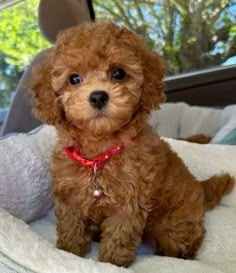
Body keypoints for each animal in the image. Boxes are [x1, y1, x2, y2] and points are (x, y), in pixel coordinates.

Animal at [30, 21, 234, 266]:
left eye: (119, 73)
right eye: (74, 79)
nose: (98, 96)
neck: (100, 151)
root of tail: (200, 188)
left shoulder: (128, 204)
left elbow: (118, 239)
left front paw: (110, 264)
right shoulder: (70, 198)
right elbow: (71, 229)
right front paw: (70, 252)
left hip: (173, 226)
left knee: (184, 243)